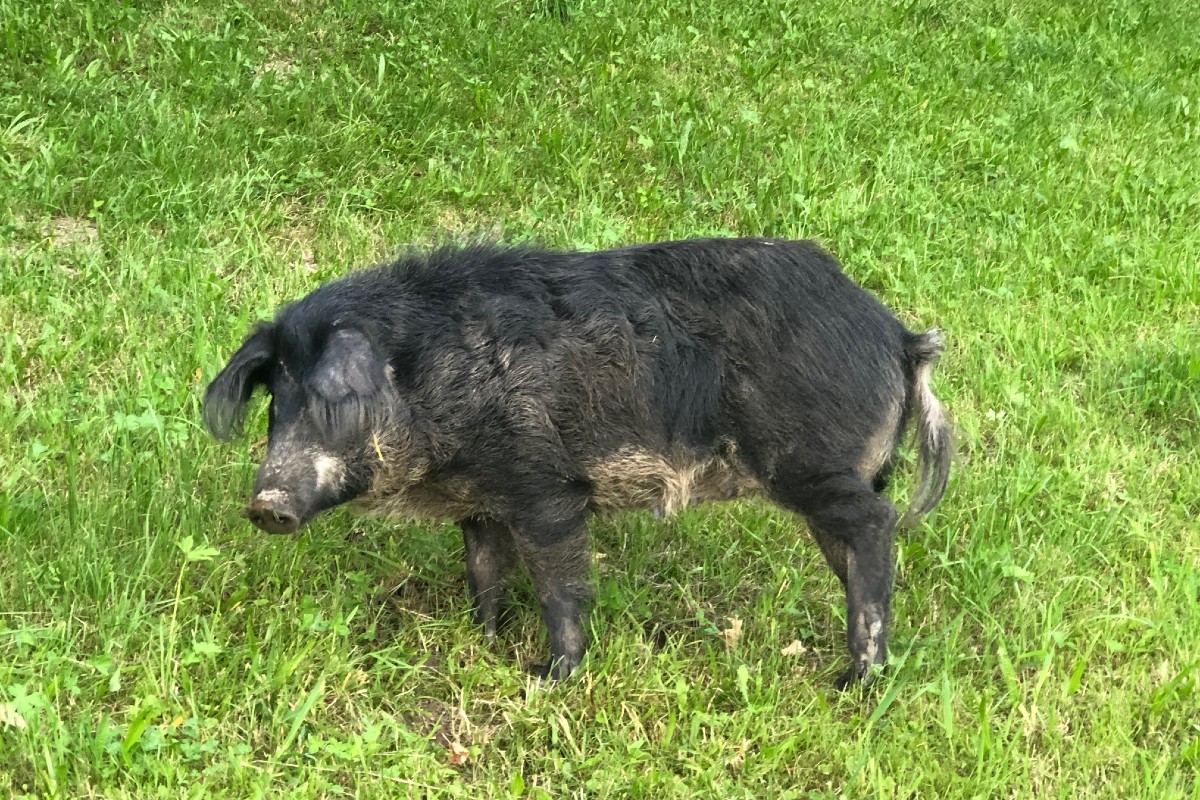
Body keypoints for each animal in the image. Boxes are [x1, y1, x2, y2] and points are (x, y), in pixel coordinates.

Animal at [203, 238, 951, 687]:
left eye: (331, 404)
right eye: (277, 406)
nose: (265, 503)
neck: (433, 382)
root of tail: (897, 336)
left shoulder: (545, 486)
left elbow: (560, 586)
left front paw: (547, 677)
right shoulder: (482, 501)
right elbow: (484, 573)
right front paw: (480, 642)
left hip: (812, 465)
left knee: (877, 524)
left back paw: (852, 680)